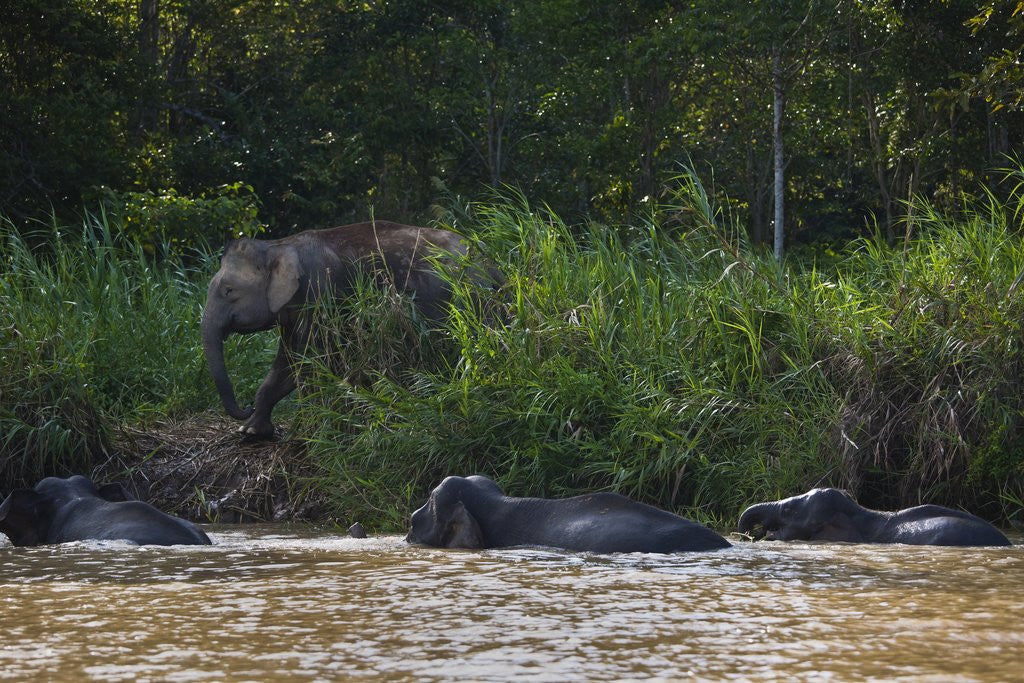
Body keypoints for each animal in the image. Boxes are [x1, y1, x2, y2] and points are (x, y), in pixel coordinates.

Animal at [202, 220, 499, 438]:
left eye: (228, 291)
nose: (245, 405)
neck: (279, 245)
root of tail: (490, 262)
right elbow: (288, 363)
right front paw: (251, 431)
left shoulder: (319, 293)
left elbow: (311, 361)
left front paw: (315, 429)